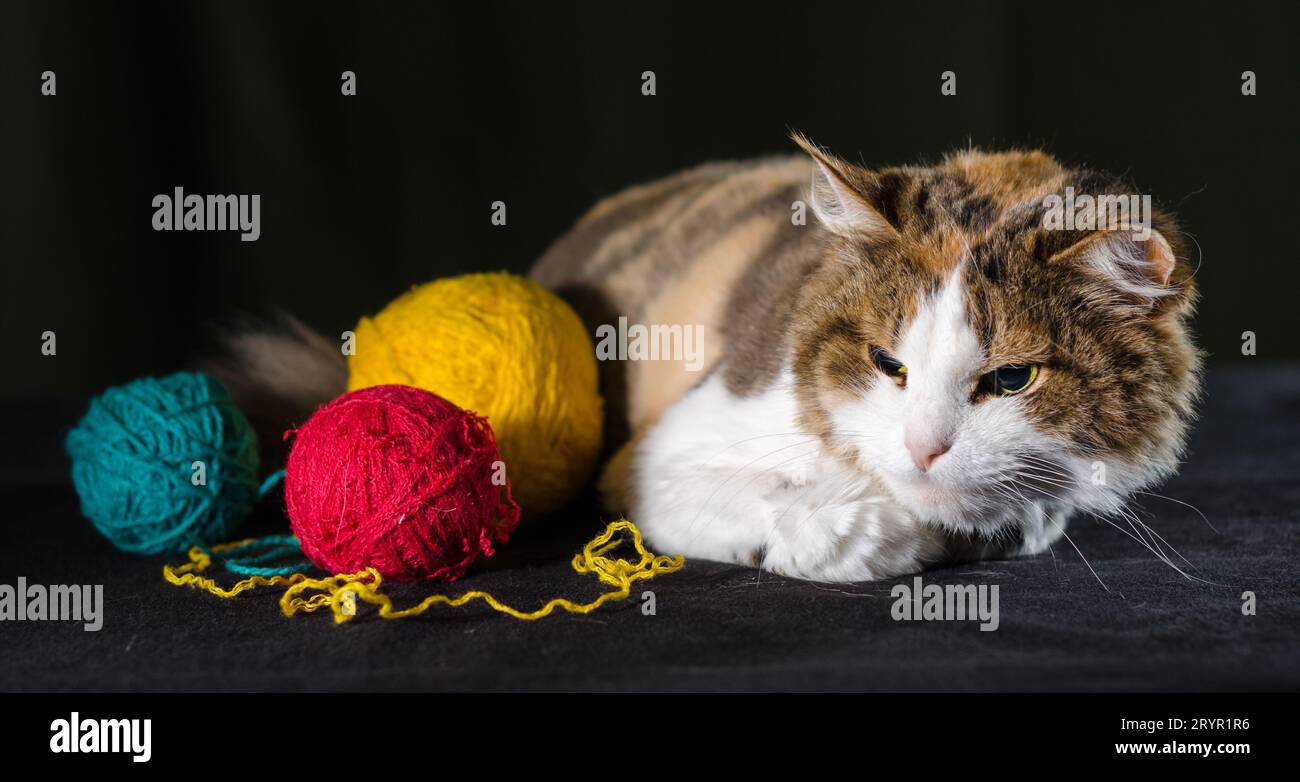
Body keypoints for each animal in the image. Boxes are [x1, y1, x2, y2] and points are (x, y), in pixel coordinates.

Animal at [218, 137, 1201, 581]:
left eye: (1012, 379)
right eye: (887, 363)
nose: (923, 449)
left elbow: (1034, 509)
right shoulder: (659, 458)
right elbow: (813, 518)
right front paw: (880, 531)